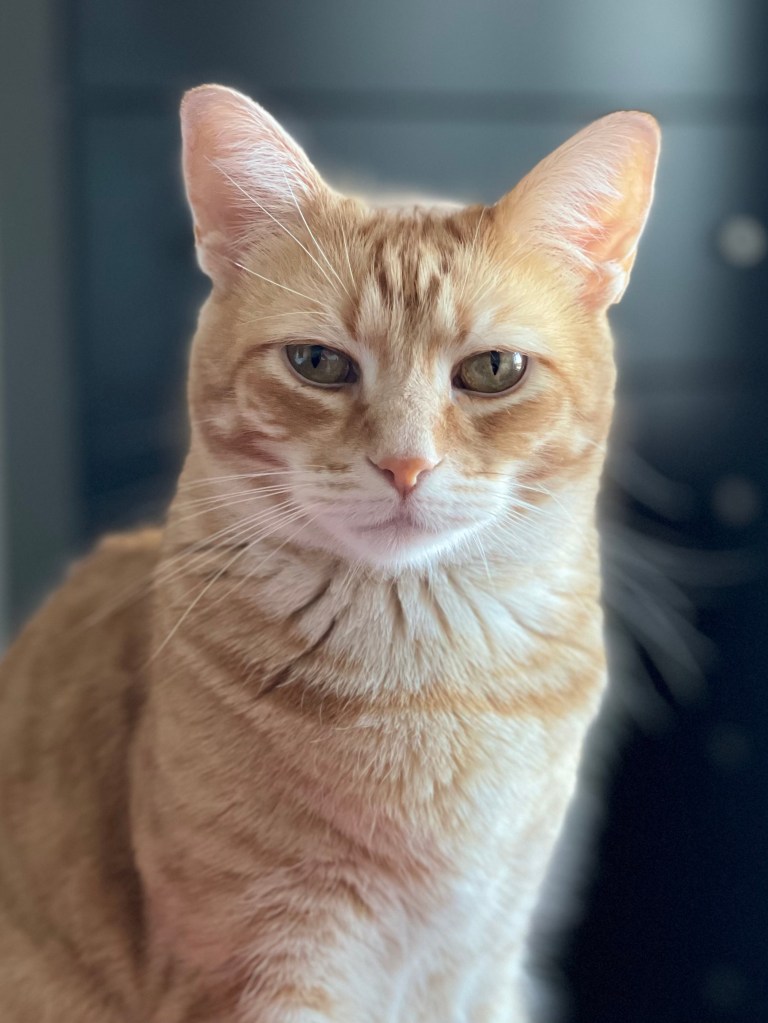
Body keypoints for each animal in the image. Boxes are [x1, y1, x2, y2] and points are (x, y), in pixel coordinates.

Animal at [0, 84, 659, 1022]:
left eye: (494, 369)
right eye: (317, 363)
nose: (405, 464)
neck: (430, 685)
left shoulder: (485, 963)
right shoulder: (264, 968)